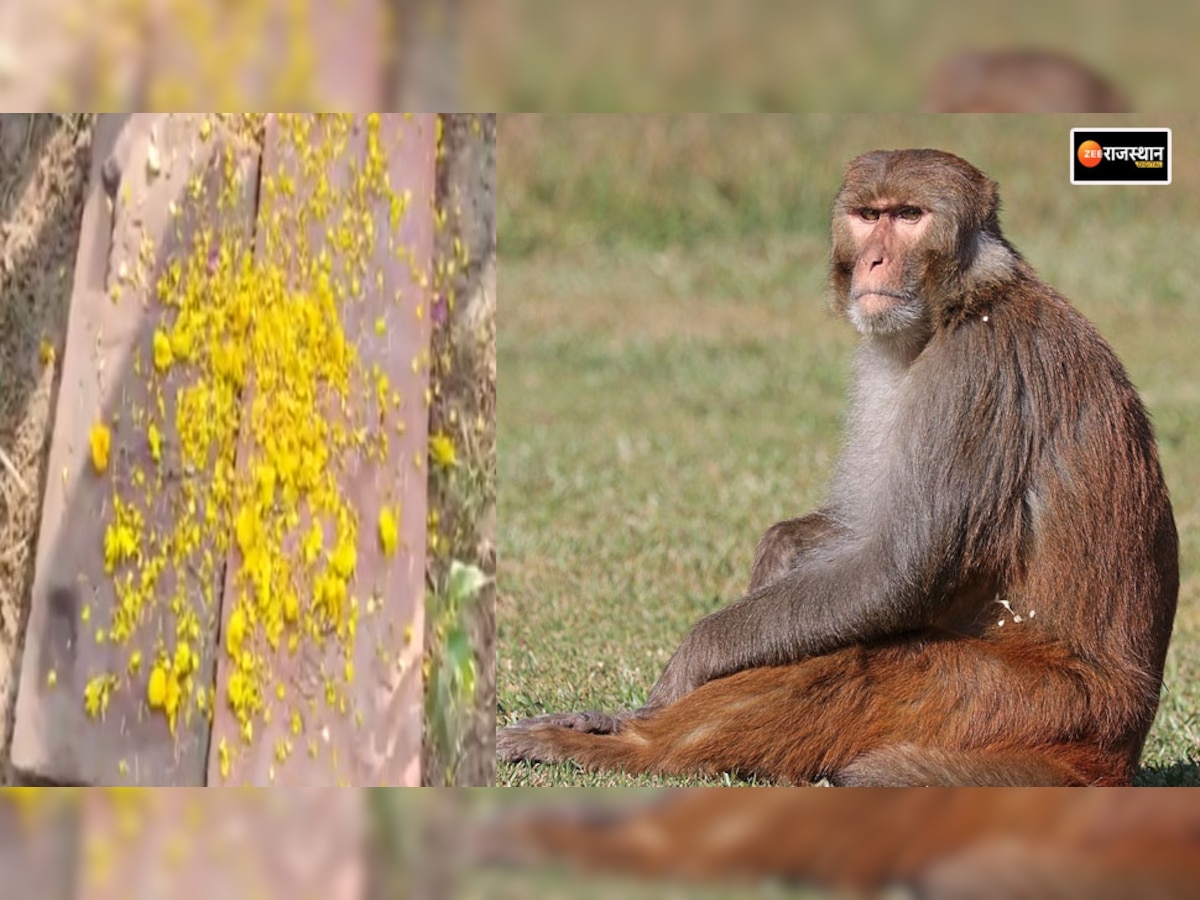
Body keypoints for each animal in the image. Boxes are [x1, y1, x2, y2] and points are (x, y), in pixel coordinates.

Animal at [499, 150, 1180, 787]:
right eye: (869, 217)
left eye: (909, 216)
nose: (874, 261)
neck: (959, 306)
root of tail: (1113, 753)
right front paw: (780, 548)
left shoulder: (976, 370)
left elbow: (896, 569)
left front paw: (687, 666)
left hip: (1017, 704)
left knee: (856, 662)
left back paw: (629, 746)